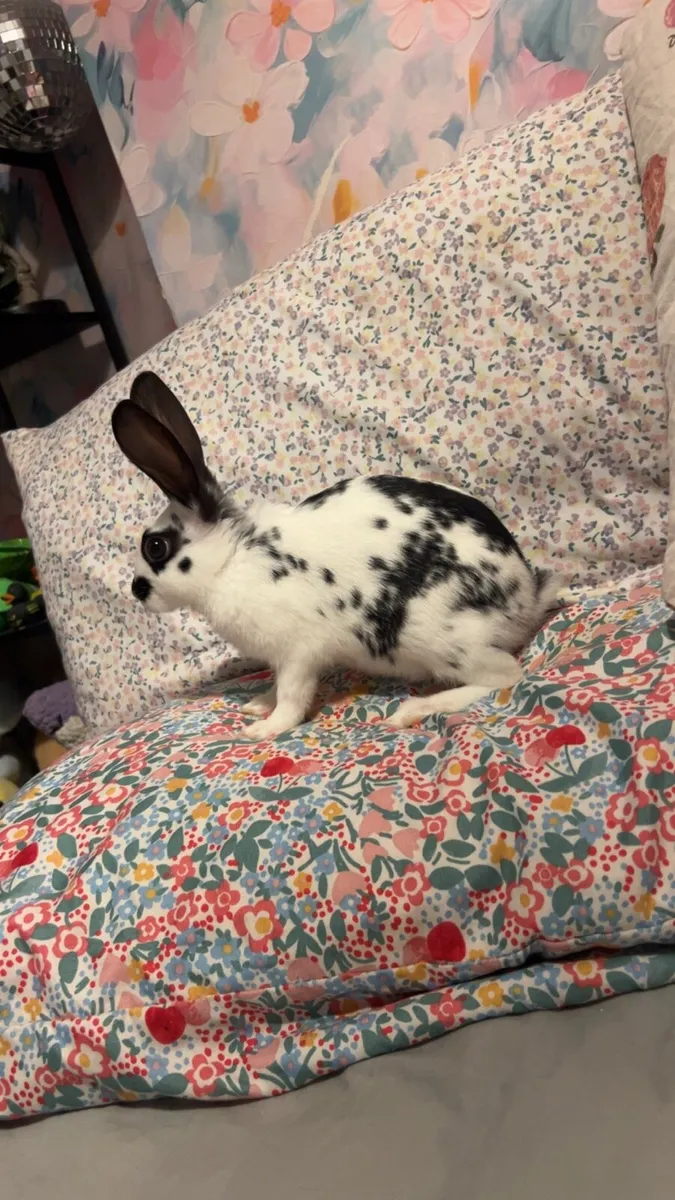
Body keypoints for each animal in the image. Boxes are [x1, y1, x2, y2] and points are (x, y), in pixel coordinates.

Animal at [112, 371, 559, 740]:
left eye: (156, 547)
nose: (137, 591)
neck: (232, 557)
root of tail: (525, 597)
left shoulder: (298, 652)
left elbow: (292, 698)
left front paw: (262, 729)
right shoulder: (283, 658)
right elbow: (275, 686)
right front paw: (258, 703)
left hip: (439, 638)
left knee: (506, 675)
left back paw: (414, 709)